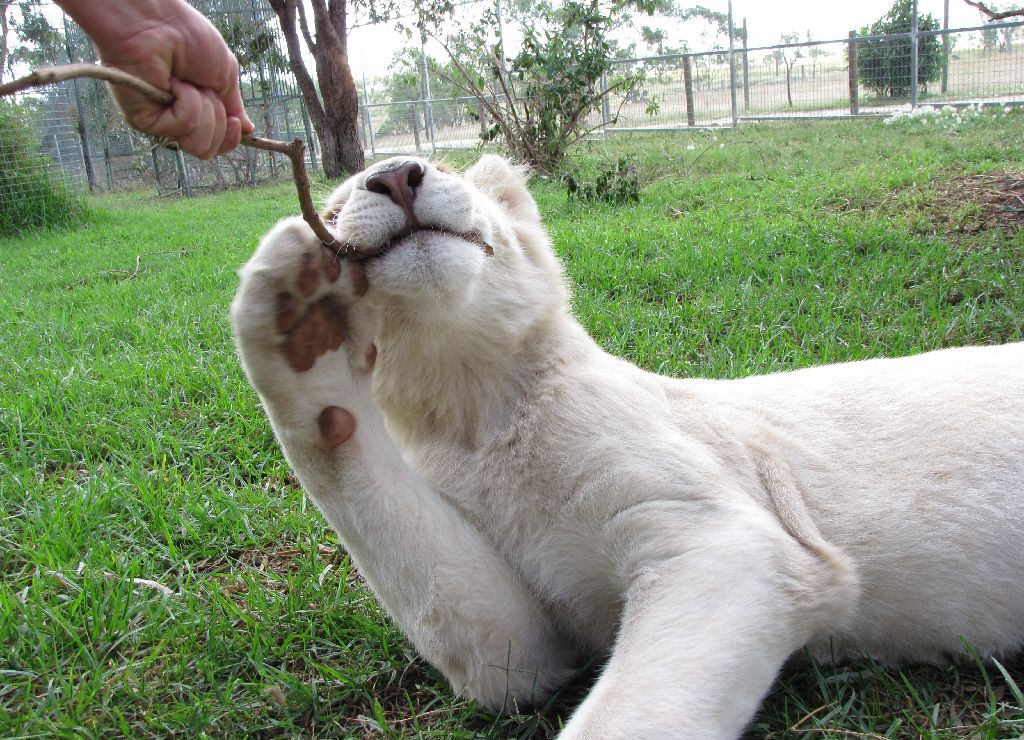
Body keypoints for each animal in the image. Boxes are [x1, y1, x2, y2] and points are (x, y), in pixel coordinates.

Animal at [231, 155, 1024, 738]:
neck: (474, 413)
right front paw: (292, 314)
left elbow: (626, 716)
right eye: (335, 205)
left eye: (446, 164)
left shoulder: (725, 541)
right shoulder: (521, 646)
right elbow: (420, 579)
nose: (397, 174)